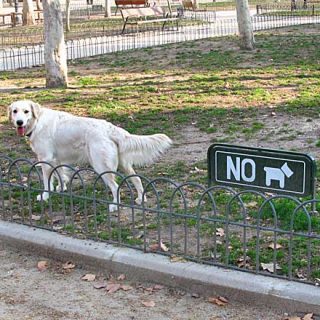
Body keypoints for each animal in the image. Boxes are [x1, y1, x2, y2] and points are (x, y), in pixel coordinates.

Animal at [8, 99, 172, 211]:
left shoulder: (45, 158)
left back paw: (114, 206)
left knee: (115, 186)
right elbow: (60, 175)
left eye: (26, 111)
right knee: (136, 179)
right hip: (123, 164)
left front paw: (45, 196)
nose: (19, 122)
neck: (37, 122)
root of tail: (111, 128)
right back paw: (140, 199)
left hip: (101, 166)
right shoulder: (56, 159)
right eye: (15, 111)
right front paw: (61, 189)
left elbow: (47, 182)